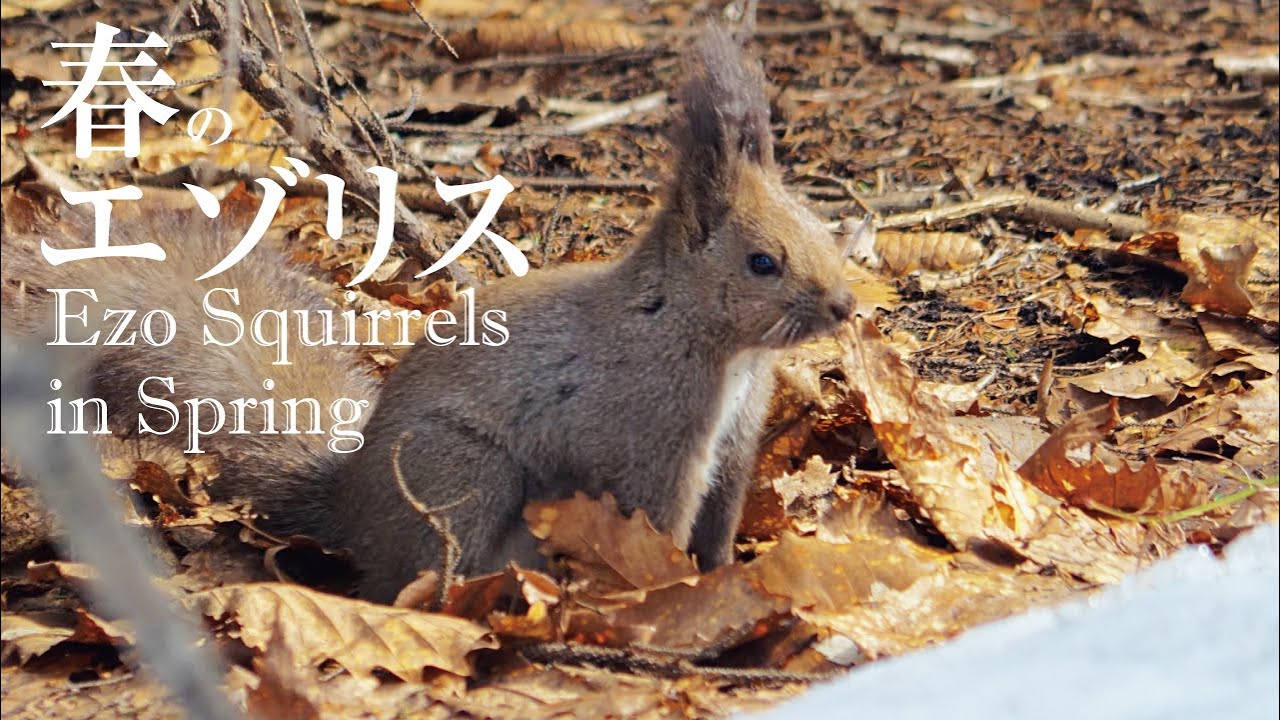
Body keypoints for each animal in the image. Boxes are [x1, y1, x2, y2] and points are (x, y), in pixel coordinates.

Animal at [2, 27, 853, 603]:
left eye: (821, 225)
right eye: (763, 262)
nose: (846, 305)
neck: (705, 341)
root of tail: (348, 507)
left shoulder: (735, 448)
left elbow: (717, 526)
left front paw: (731, 576)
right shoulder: (649, 438)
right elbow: (662, 525)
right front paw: (669, 594)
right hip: (462, 476)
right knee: (420, 576)